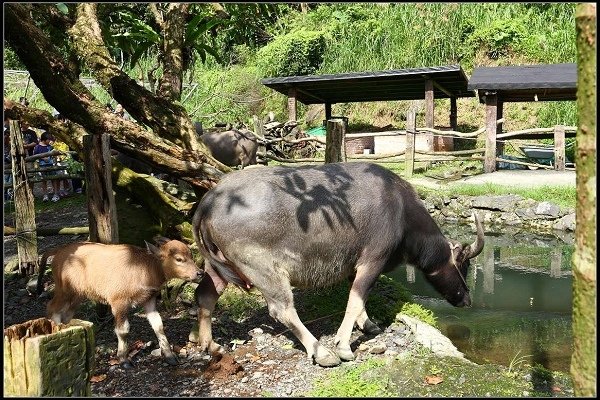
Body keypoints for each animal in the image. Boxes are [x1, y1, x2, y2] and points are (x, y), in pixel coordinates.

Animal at [37, 238, 203, 368]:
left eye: (191, 255)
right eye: (179, 259)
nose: (199, 273)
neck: (143, 268)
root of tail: (59, 251)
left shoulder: (149, 300)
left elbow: (158, 325)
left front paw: (169, 356)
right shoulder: (119, 302)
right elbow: (123, 329)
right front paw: (124, 359)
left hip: (78, 294)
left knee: (66, 314)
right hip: (64, 291)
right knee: (52, 308)